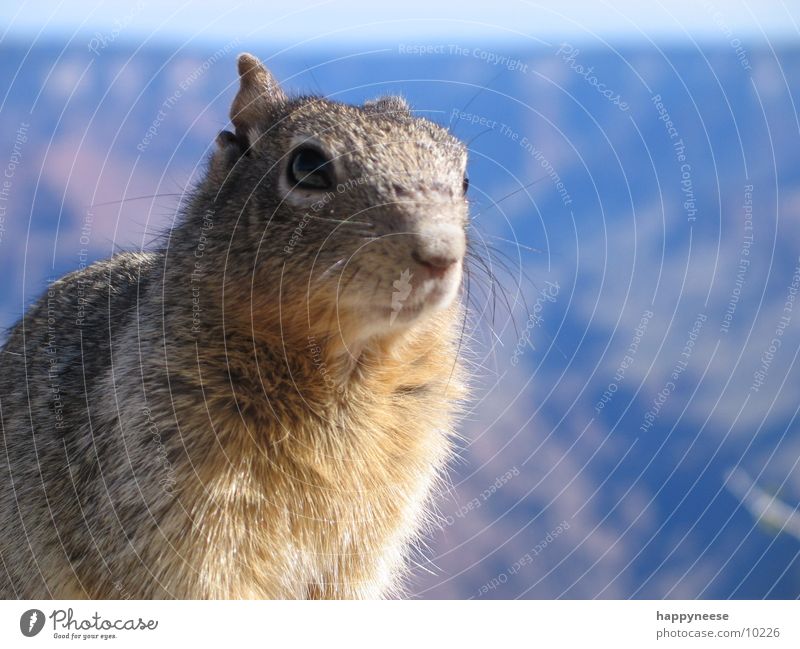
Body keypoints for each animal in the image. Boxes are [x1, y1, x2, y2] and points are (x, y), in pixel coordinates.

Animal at [0, 52, 472, 596]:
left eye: (464, 179)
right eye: (307, 165)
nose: (442, 254)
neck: (346, 371)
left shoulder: (372, 538)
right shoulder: (186, 516)